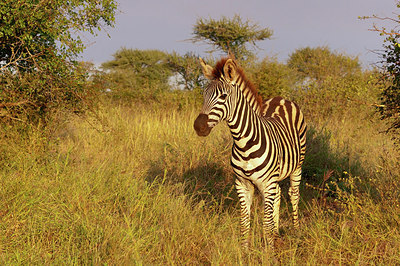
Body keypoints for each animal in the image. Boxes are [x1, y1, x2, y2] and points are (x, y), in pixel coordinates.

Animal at [194, 57, 306, 248]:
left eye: (223, 96)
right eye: (204, 96)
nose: (198, 126)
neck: (244, 143)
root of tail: (281, 98)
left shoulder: (266, 183)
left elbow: (265, 224)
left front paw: (269, 251)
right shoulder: (242, 184)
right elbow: (244, 222)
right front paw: (245, 250)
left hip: (297, 166)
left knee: (293, 195)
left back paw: (296, 230)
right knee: (278, 195)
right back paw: (277, 233)